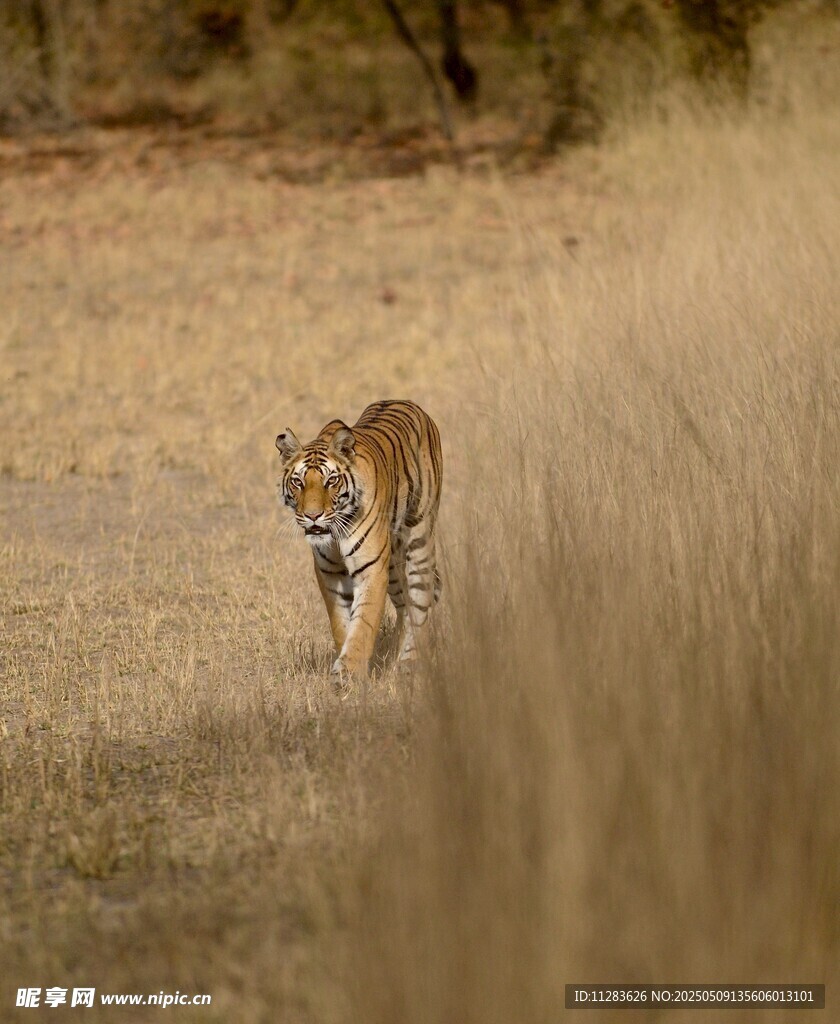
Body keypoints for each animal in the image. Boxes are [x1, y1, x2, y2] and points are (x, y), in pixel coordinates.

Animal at [275, 399, 443, 679]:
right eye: (298, 482)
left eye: (331, 480)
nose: (312, 516)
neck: (334, 533)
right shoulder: (329, 572)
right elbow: (341, 623)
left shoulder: (371, 569)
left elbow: (363, 622)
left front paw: (349, 674)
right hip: (393, 563)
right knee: (405, 606)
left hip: (419, 538)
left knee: (421, 600)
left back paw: (411, 661)